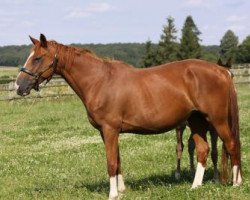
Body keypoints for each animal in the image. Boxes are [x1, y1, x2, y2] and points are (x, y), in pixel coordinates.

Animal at [14, 34, 241, 198]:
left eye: (37, 58)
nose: (19, 86)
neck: (99, 81)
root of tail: (221, 70)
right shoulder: (106, 132)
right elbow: (118, 159)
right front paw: (121, 189)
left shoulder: (110, 129)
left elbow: (111, 162)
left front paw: (113, 194)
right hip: (196, 120)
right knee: (203, 149)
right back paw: (195, 186)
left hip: (217, 120)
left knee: (231, 145)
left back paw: (236, 183)